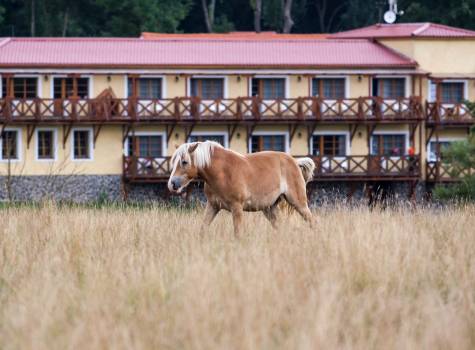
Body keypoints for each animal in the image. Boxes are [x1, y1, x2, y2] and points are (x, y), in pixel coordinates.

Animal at [167, 141, 316, 237]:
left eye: (184, 162)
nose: (172, 184)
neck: (222, 171)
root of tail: (295, 162)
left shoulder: (237, 208)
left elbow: (238, 233)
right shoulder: (213, 206)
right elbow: (203, 229)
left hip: (298, 203)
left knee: (312, 221)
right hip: (270, 208)